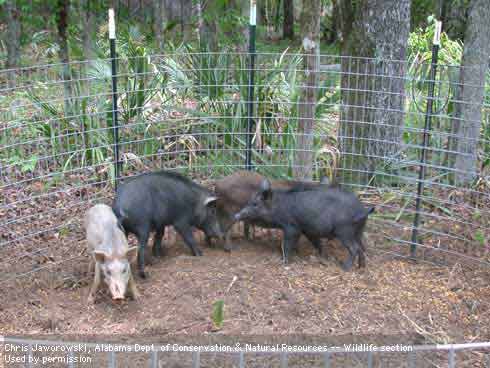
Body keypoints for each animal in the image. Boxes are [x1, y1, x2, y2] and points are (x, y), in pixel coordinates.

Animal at [235, 179, 374, 270]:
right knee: (361, 247)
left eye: (255, 204)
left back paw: (345, 268)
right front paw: (323, 256)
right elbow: (317, 243)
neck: (279, 206)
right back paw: (361, 267)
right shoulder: (308, 230)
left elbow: (287, 245)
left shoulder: (292, 227)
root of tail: (363, 210)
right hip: (358, 231)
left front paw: (284, 261)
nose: (236, 215)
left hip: (344, 231)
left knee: (354, 248)